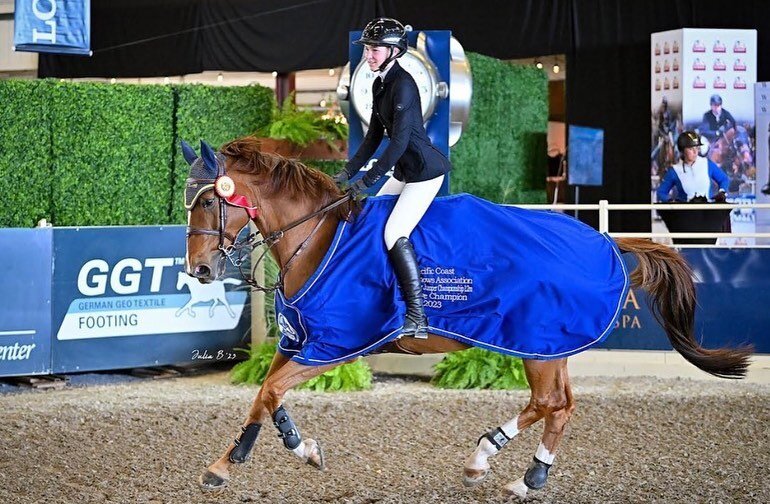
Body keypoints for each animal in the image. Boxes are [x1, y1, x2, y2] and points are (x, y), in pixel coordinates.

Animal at [182, 136, 752, 498]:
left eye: (210, 201)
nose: (200, 269)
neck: (318, 235)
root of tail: (605, 241)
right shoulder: (298, 341)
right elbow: (263, 395)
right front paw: (235, 462)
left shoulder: (334, 345)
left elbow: (272, 391)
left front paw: (281, 454)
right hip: (553, 344)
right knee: (560, 406)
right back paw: (518, 471)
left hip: (538, 339)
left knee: (549, 402)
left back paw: (494, 462)